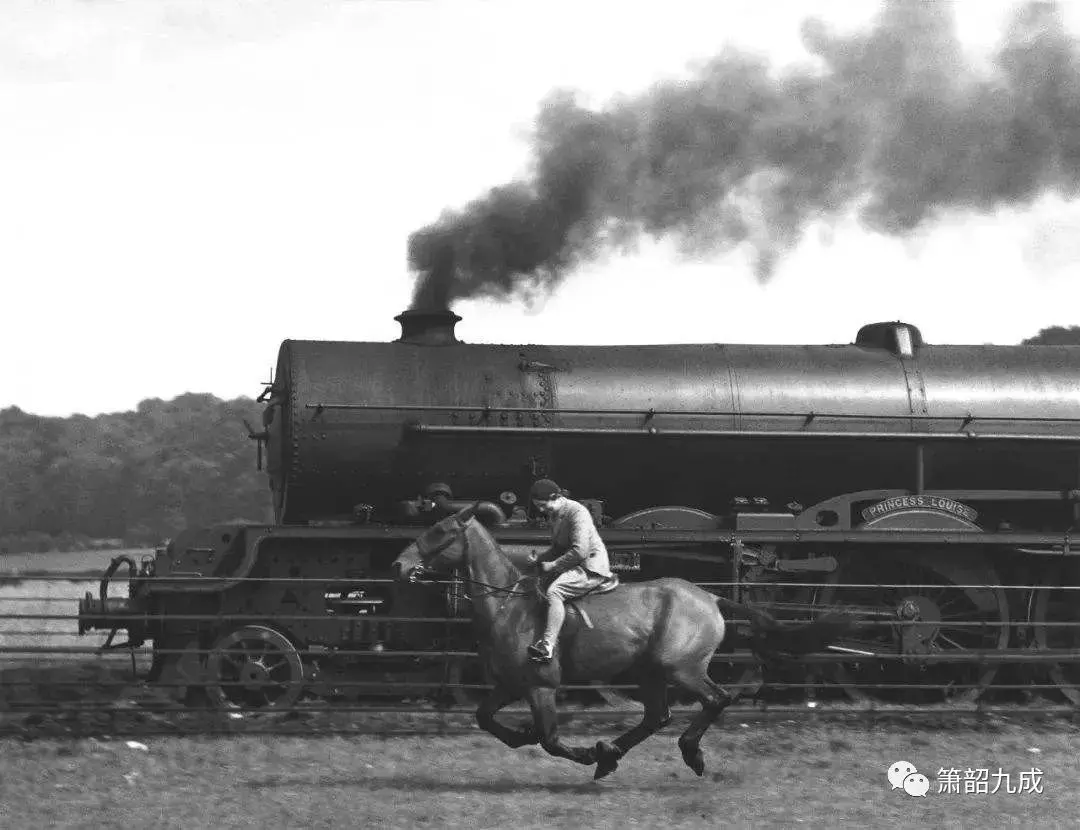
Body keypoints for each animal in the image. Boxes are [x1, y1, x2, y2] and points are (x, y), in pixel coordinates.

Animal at [390, 500, 851, 781]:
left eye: (440, 531)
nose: (399, 565)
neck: (508, 605)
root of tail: (710, 596)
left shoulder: (541, 686)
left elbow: (551, 740)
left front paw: (582, 754)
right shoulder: (508, 684)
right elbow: (484, 718)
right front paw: (525, 736)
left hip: (679, 668)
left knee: (715, 699)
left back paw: (684, 753)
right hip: (650, 672)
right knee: (657, 716)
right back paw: (614, 752)